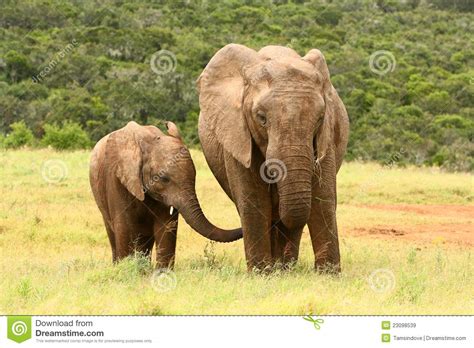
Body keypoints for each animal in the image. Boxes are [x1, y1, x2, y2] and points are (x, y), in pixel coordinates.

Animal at [90, 121, 243, 268]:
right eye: (163, 178)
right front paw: (125, 268)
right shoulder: (116, 179)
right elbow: (124, 227)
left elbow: (166, 227)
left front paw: (162, 273)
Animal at [196, 44, 348, 272]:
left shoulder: (326, 138)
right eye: (261, 118)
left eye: (320, 118)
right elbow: (255, 202)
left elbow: (323, 200)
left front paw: (328, 275)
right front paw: (261, 274)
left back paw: (285, 267)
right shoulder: (237, 134)